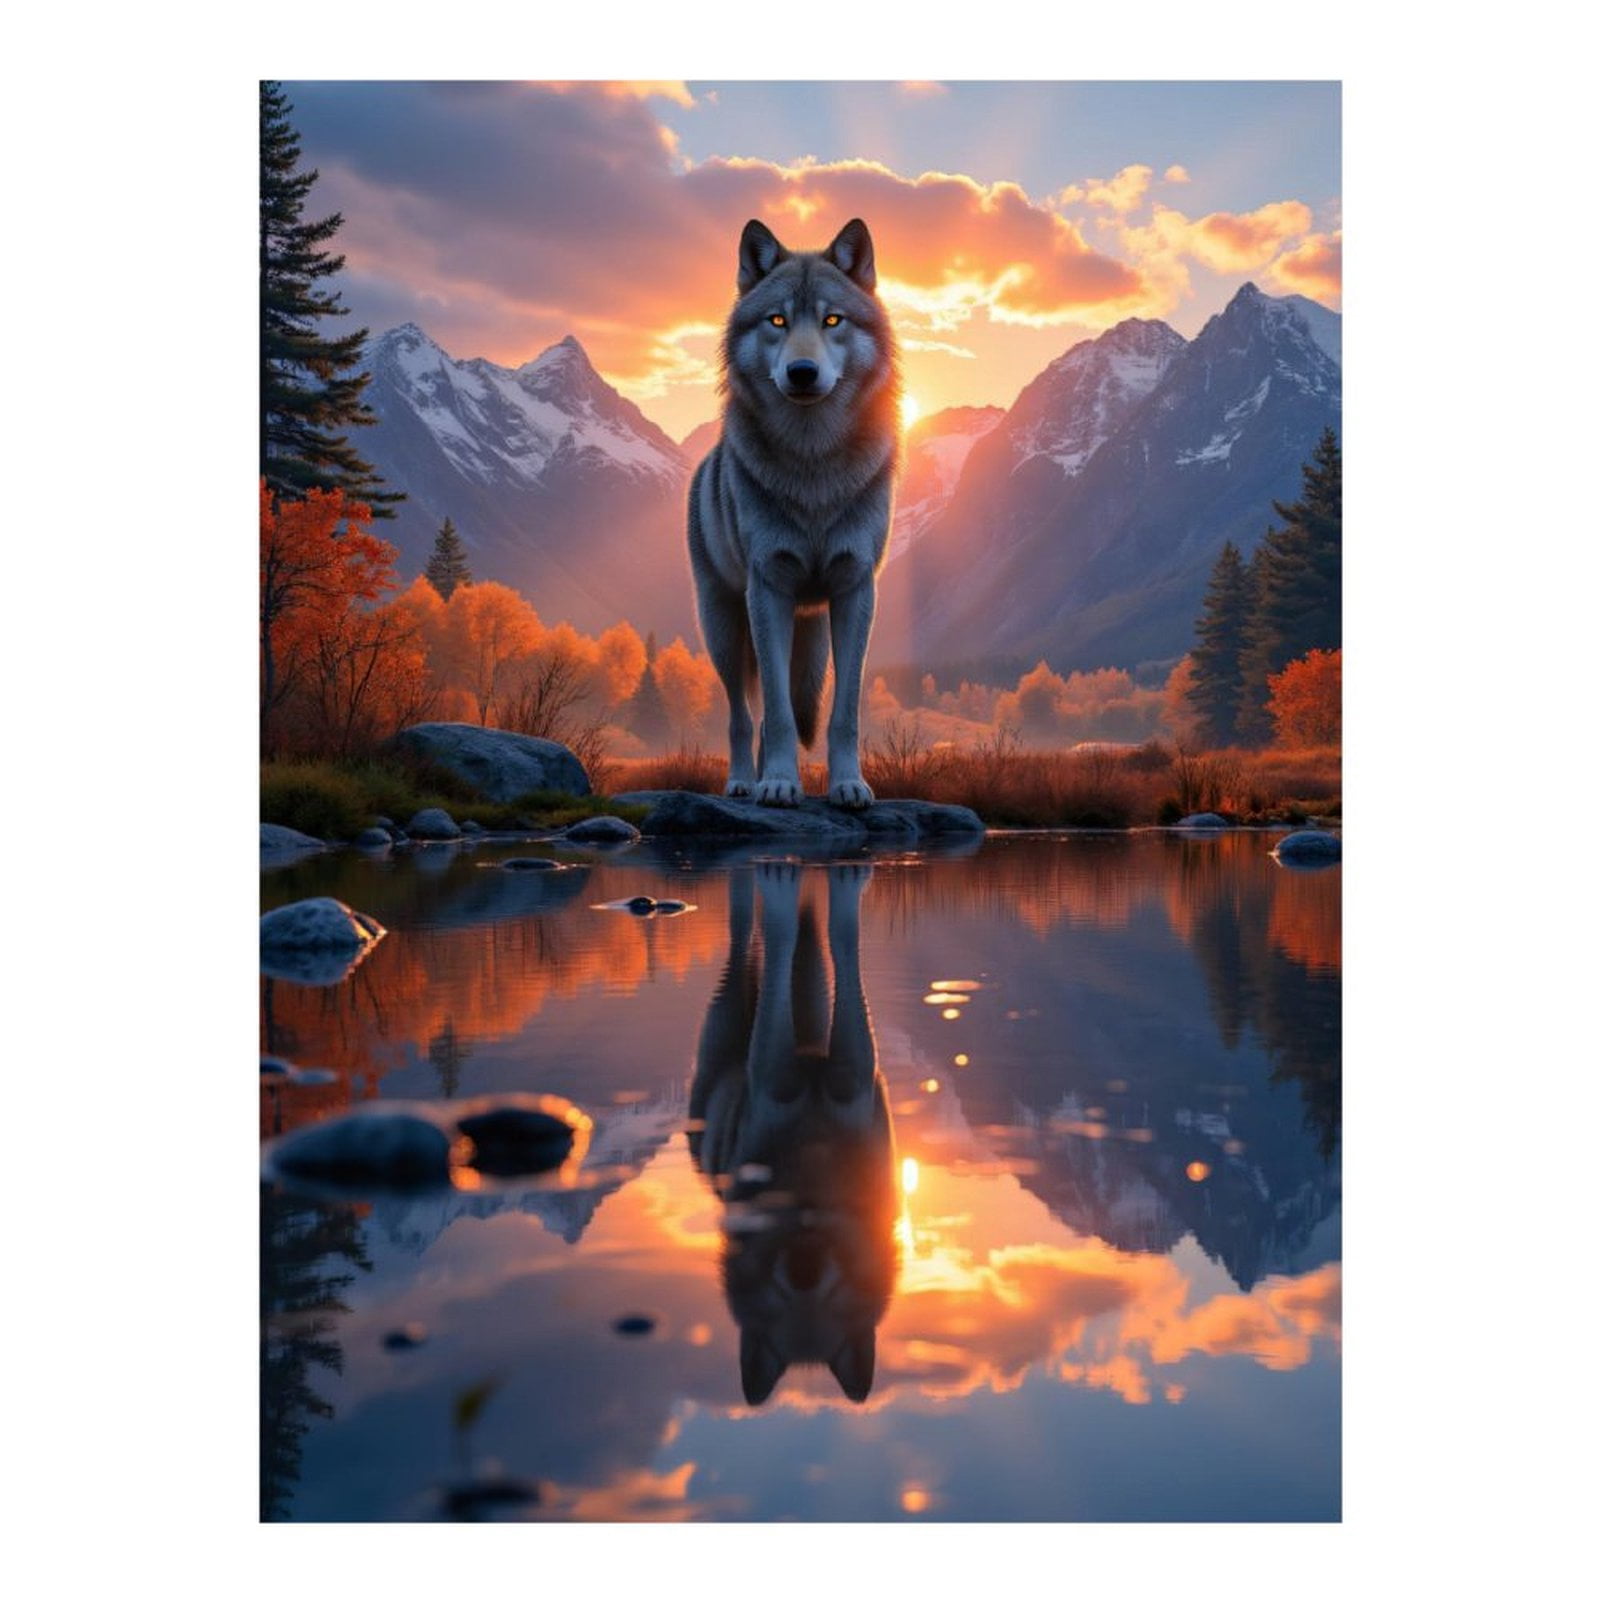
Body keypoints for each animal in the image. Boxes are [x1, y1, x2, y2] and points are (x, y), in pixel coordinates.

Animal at [688, 217, 901, 808]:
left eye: (832, 319)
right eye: (777, 320)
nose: (802, 372)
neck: (814, 467)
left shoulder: (856, 591)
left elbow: (843, 712)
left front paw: (848, 784)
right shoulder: (768, 589)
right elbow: (779, 714)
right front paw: (780, 783)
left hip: (808, 626)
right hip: (724, 628)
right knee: (743, 716)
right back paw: (745, 782)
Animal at [688, 863, 899, 1406]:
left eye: (831, 1289)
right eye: (783, 1292)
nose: (805, 1268)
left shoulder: (850, 1083)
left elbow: (842, 934)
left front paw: (847, 889)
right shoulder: (774, 1082)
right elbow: (781, 932)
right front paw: (778, 890)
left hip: (814, 1000)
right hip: (724, 1010)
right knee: (743, 936)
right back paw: (747, 888)